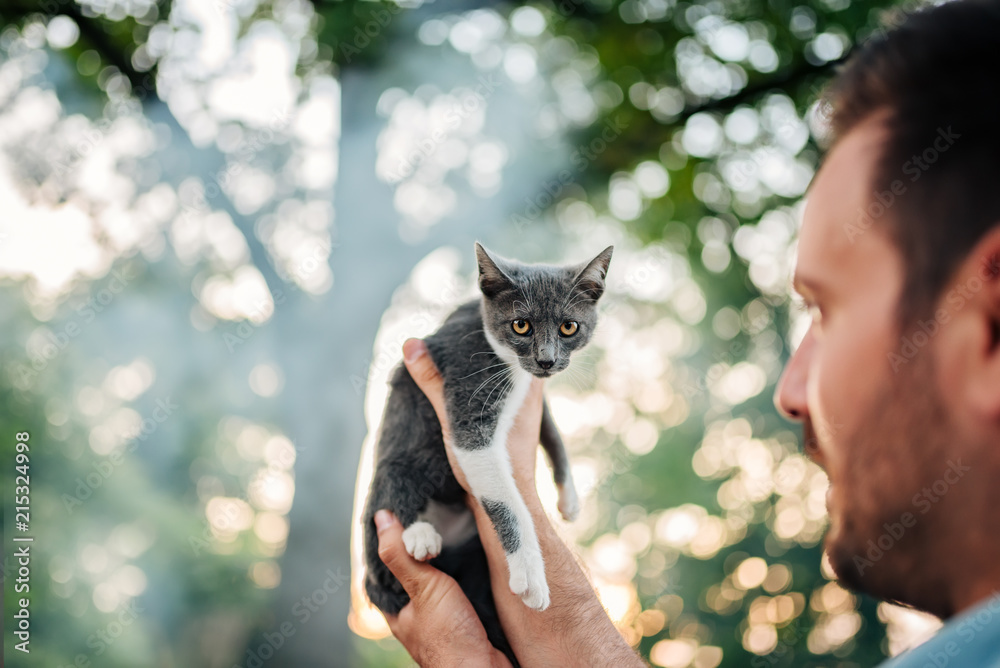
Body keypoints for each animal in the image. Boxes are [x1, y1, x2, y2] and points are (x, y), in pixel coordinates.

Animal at [360, 241, 608, 664]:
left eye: (569, 327)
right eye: (521, 325)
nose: (546, 359)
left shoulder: (531, 392)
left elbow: (552, 430)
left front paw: (569, 497)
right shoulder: (467, 382)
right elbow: (507, 499)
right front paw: (530, 574)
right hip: (393, 471)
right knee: (389, 491)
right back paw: (418, 534)